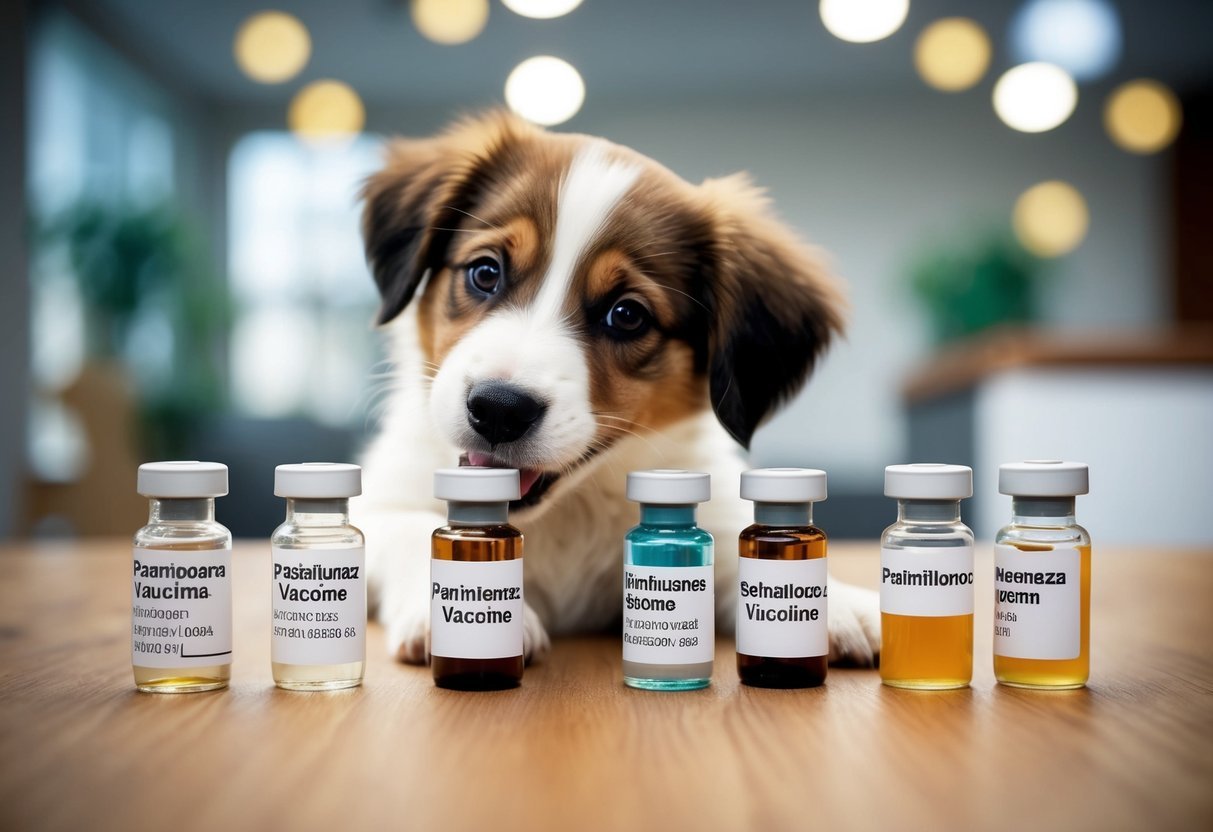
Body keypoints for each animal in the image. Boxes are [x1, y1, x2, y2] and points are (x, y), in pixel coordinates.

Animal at [354, 110, 878, 669]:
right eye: (485, 271)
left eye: (627, 315)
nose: (497, 409)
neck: (569, 511)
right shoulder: (384, 502)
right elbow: (411, 529)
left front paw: (838, 605)